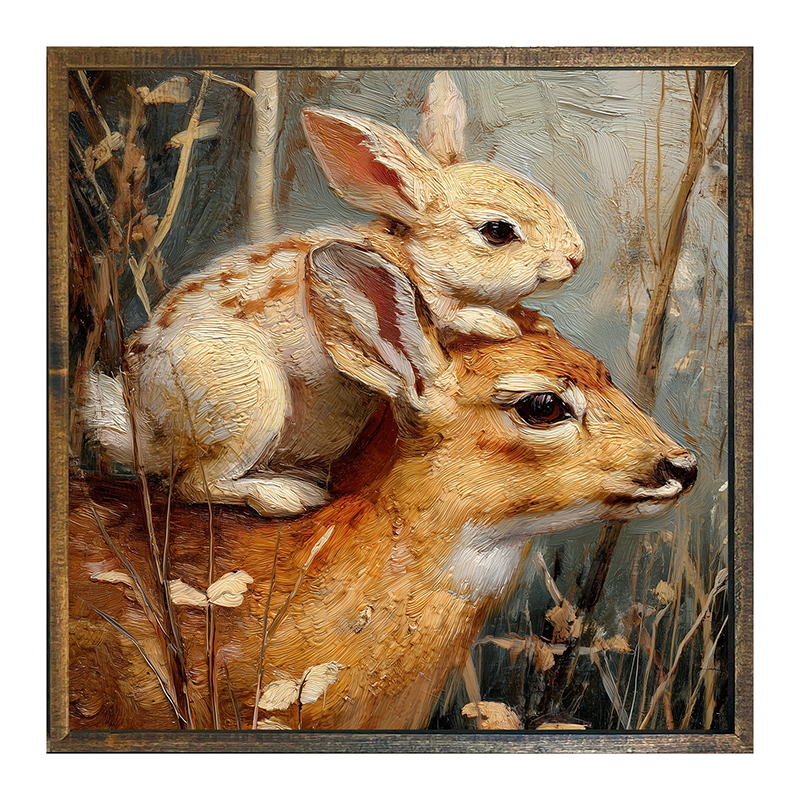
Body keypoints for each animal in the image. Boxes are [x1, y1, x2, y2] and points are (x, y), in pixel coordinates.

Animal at [79, 71, 586, 519]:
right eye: (498, 231)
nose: (577, 256)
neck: (407, 252)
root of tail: (149, 432)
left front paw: (535, 319)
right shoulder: (427, 297)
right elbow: (447, 313)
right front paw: (498, 324)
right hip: (249, 401)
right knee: (193, 483)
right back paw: (286, 496)